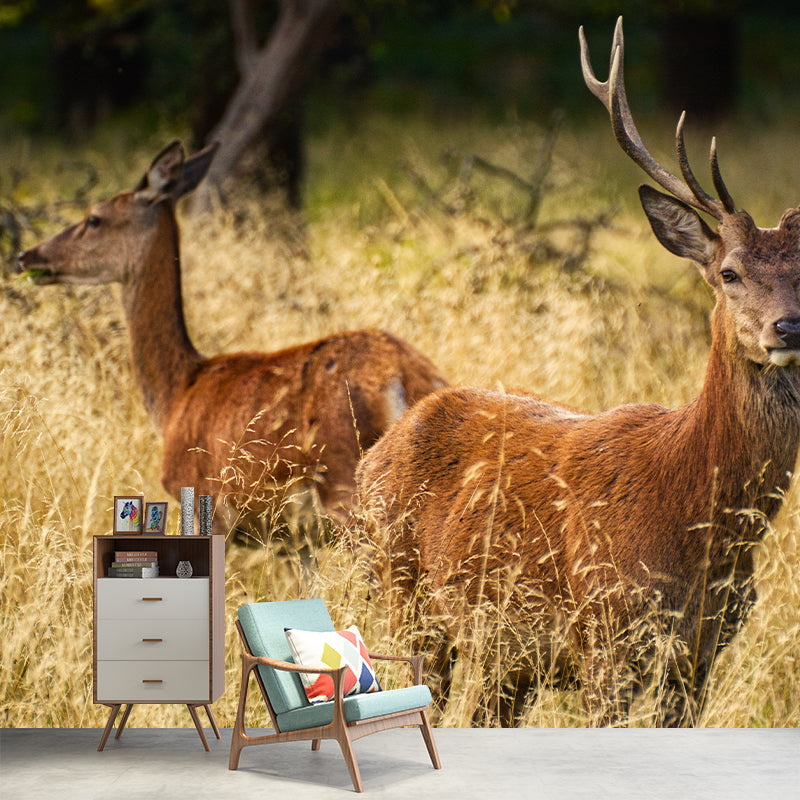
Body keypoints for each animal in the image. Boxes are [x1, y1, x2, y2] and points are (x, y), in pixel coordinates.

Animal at [16, 140, 446, 540]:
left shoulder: (207, 501)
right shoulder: (293, 540)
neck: (176, 394)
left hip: (345, 479)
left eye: (94, 218)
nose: (27, 256)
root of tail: (403, 377)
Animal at [356, 17, 800, 727]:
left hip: (506, 658)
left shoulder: (701, 656)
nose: (788, 327)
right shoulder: (606, 635)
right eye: (729, 272)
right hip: (403, 596)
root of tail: (376, 452)